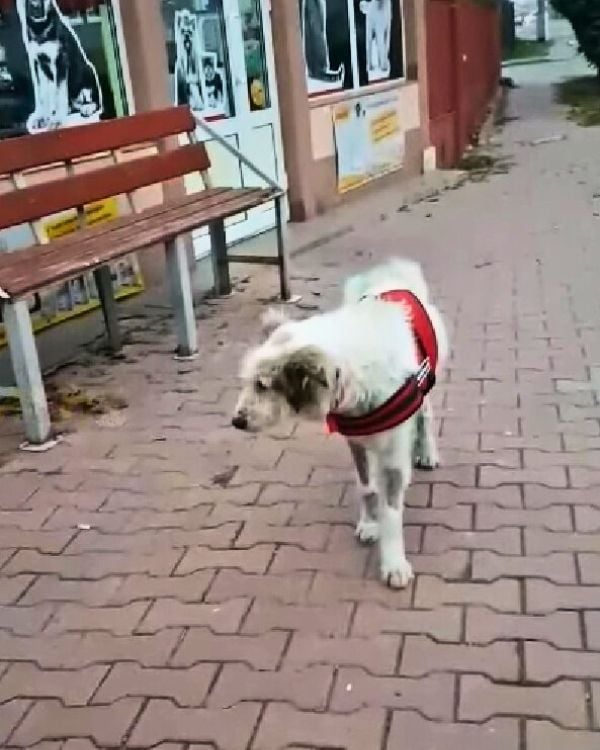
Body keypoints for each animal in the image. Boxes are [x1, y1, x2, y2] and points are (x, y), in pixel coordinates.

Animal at [232, 262, 448, 592]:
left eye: (263, 385)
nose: (237, 421)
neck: (353, 370)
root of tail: (393, 276)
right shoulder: (356, 440)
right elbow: (367, 487)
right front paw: (369, 523)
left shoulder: (393, 454)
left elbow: (392, 512)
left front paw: (394, 563)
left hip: (426, 382)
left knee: (426, 413)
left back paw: (427, 451)